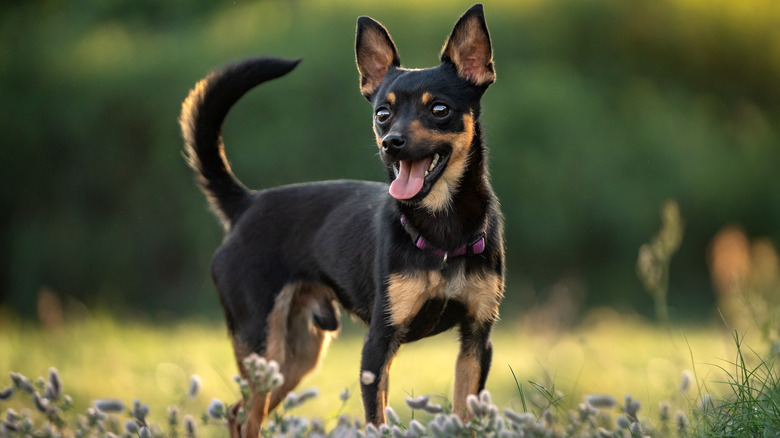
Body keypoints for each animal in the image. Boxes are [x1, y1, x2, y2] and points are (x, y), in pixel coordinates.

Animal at [180, 2, 502, 434]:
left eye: (439, 110)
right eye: (383, 114)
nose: (391, 142)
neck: (442, 227)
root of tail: (247, 204)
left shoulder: (476, 340)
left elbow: (465, 416)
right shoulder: (378, 344)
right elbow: (376, 420)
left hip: (297, 356)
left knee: (238, 412)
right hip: (263, 345)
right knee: (247, 417)